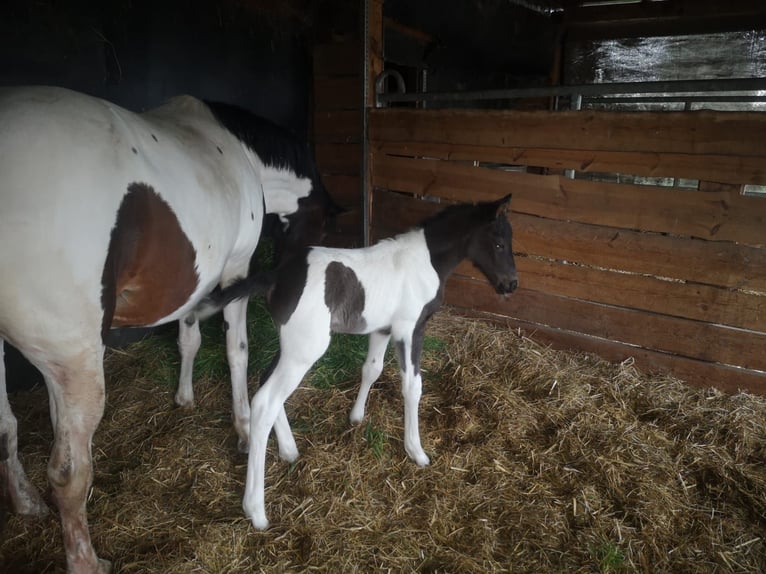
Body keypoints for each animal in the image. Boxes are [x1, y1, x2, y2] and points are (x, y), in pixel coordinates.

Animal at [0, 86, 336, 574]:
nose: (296, 276)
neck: (240, 152)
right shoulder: (235, 271)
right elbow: (236, 351)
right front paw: (242, 427)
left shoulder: (195, 285)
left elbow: (188, 338)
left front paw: (184, 397)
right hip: (76, 362)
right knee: (67, 475)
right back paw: (87, 560)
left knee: (6, 428)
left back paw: (26, 503)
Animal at [198, 194, 520, 532]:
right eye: (499, 242)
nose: (511, 284)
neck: (427, 261)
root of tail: (277, 276)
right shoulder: (410, 329)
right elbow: (412, 387)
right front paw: (416, 451)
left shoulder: (382, 329)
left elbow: (372, 369)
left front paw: (356, 417)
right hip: (305, 350)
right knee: (265, 402)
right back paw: (256, 510)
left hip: (292, 346)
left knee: (266, 382)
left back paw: (289, 450)